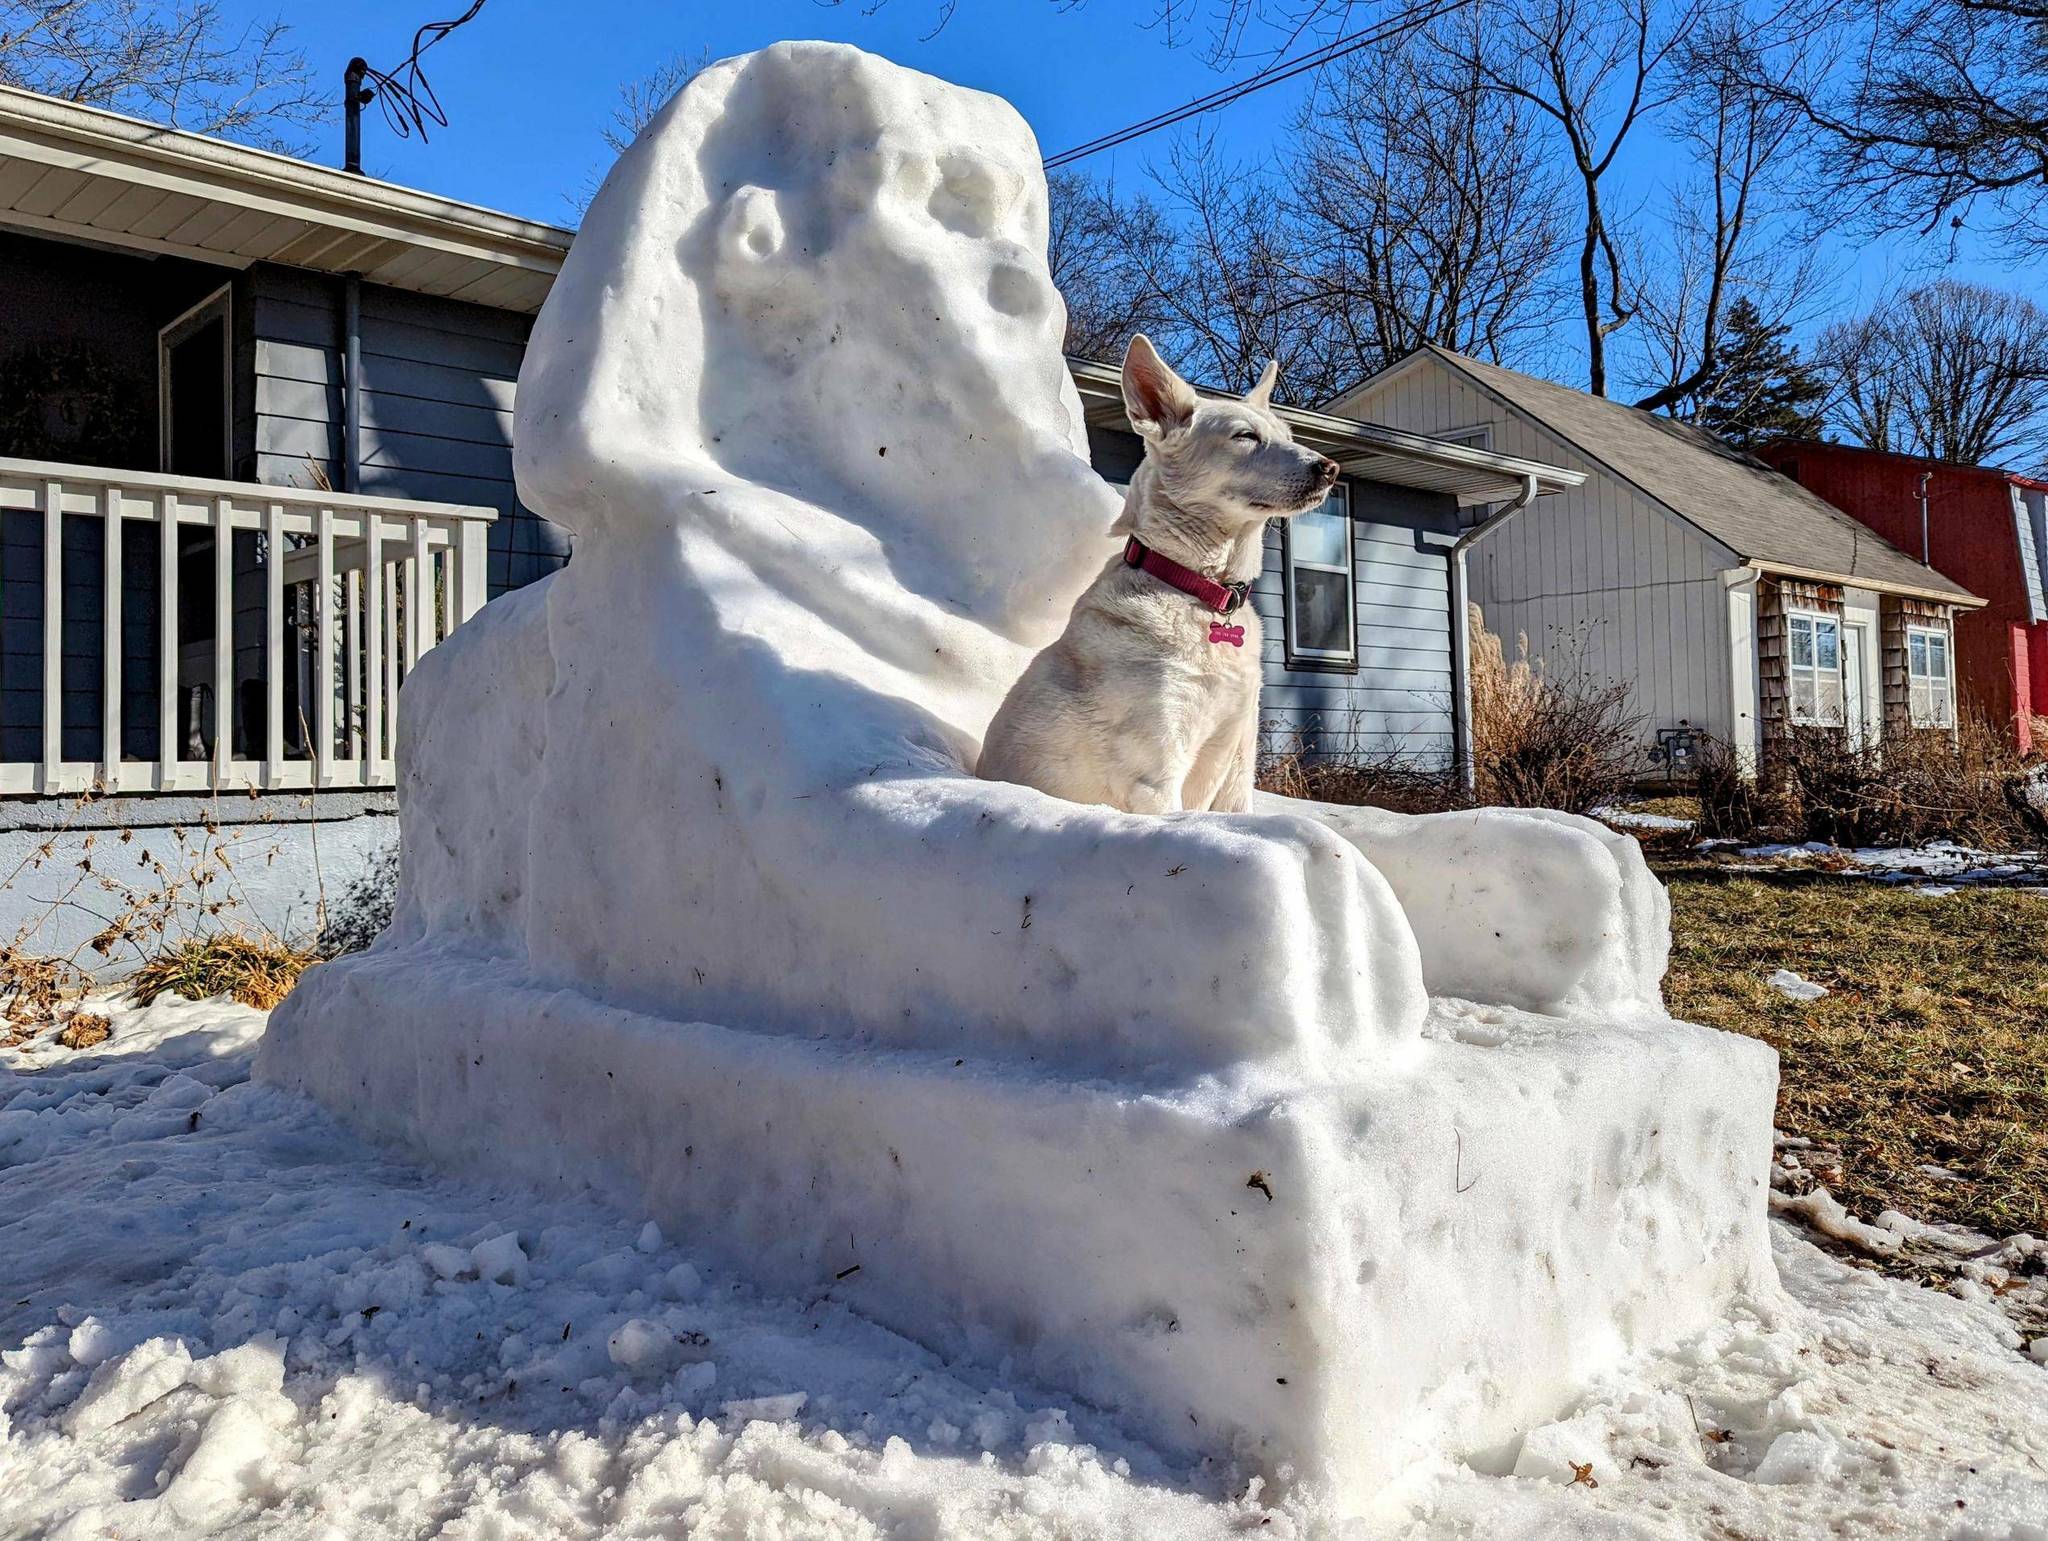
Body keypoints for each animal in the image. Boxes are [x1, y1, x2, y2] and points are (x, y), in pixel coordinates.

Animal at [978, 336, 1343, 819]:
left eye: (1288, 436)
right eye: (1245, 436)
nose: (1330, 468)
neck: (1199, 587)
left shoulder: (1239, 755)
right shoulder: (1155, 774)